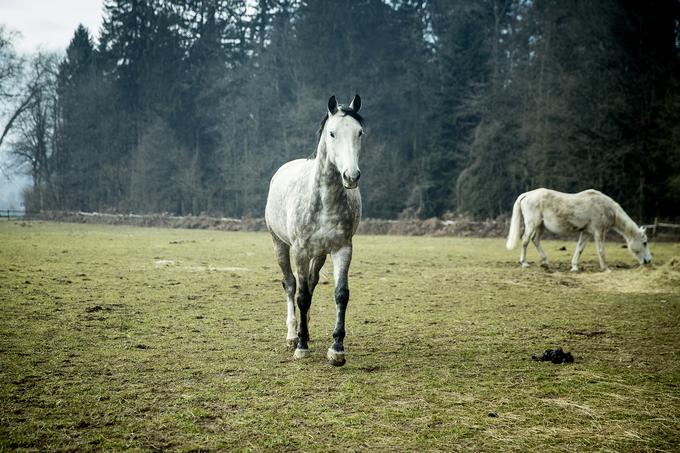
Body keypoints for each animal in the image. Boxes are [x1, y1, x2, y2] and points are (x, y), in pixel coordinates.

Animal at [264, 93, 364, 366]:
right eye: (332, 133)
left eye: (359, 132)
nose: (351, 176)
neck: (323, 201)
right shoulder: (299, 250)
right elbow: (300, 295)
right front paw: (301, 345)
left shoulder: (343, 249)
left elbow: (341, 294)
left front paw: (337, 349)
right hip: (280, 244)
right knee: (291, 284)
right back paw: (292, 334)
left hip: (319, 254)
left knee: (310, 282)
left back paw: (305, 326)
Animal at [508, 188, 652, 270]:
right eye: (644, 243)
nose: (648, 261)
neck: (607, 209)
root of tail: (527, 195)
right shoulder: (599, 232)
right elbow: (601, 250)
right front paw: (606, 268)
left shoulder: (587, 233)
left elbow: (580, 248)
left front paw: (575, 267)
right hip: (532, 224)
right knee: (525, 240)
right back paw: (524, 263)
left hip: (540, 226)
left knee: (535, 240)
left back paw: (545, 262)